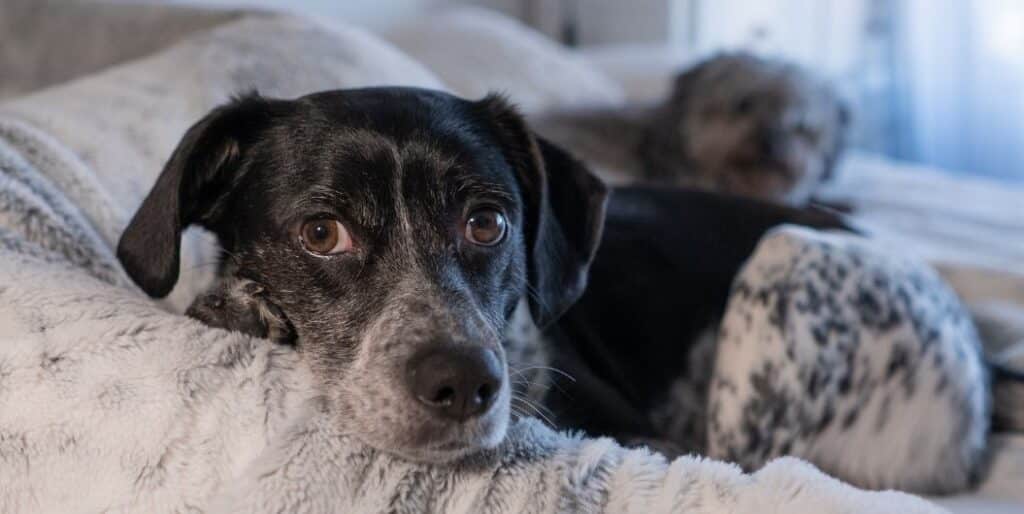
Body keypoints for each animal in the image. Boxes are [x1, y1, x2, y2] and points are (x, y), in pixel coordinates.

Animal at [116, 86, 987, 491]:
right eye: (321, 233)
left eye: (487, 222)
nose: (464, 382)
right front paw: (239, 307)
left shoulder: (645, 440)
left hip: (785, 263)